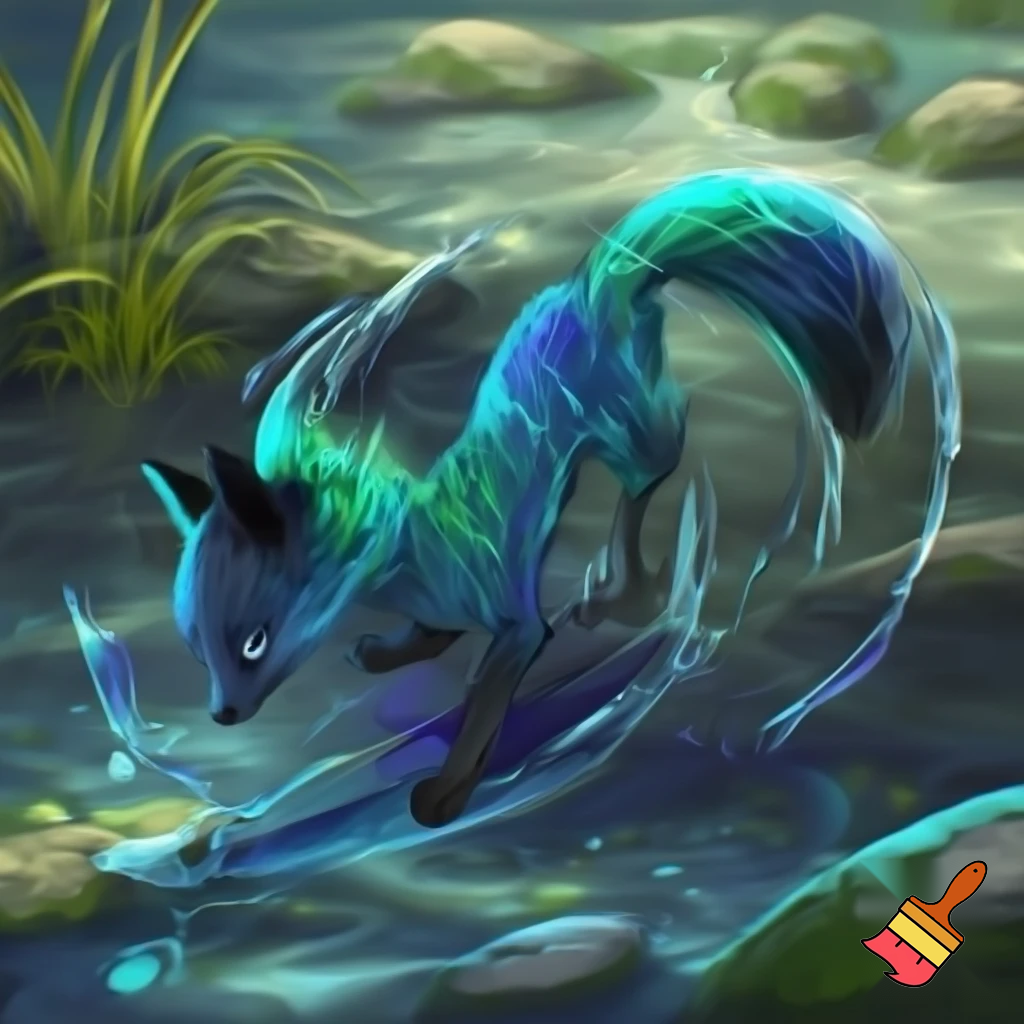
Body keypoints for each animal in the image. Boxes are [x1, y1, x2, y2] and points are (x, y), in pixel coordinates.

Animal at [141, 167, 944, 831]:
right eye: (197, 644)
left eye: (253, 641)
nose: (223, 714)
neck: (405, 549)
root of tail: (601, 273)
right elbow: (429, 638)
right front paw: (393, 651)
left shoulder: (518, 629)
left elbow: (480, 715)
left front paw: (446, 796)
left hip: (632, 430)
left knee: (649, 482)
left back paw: (624, 592)